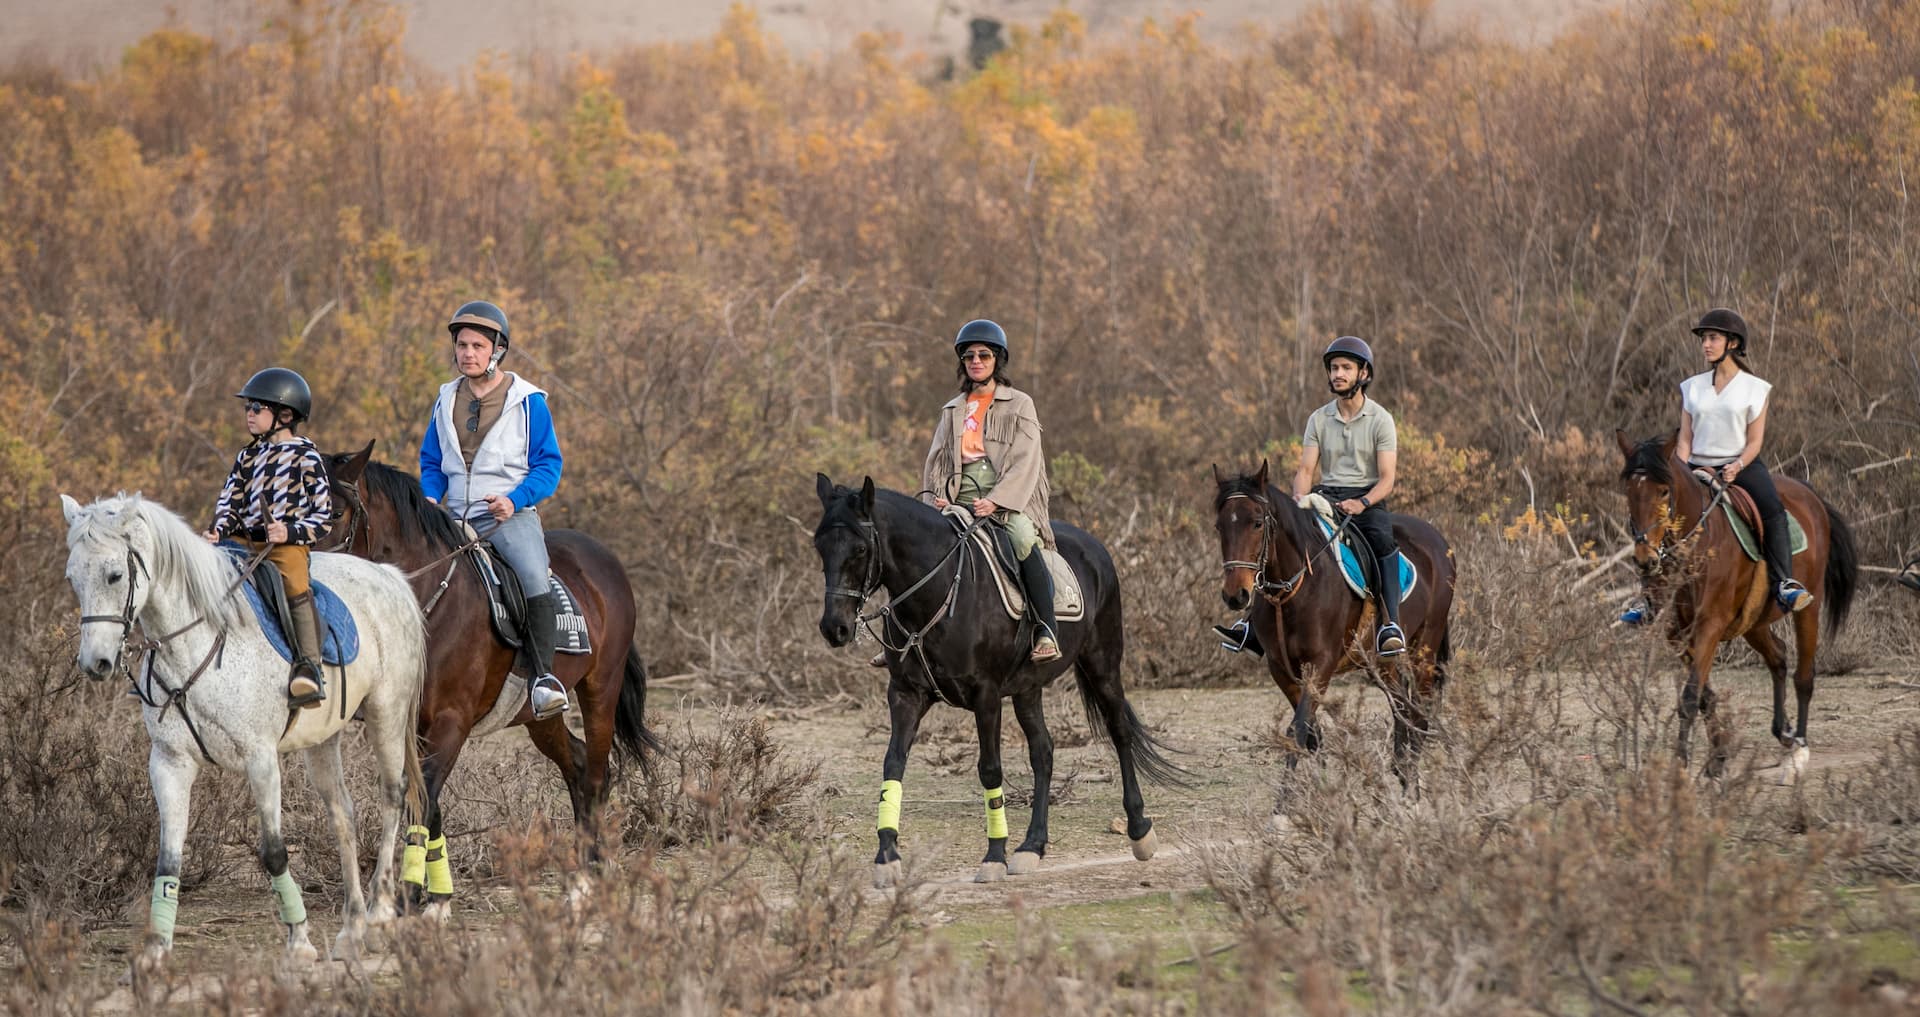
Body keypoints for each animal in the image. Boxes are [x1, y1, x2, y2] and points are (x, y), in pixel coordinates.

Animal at [60, 493, 426, 966]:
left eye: (115, 574)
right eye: (73, 579)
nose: (96, 663)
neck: (197, 642)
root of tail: (389, 577)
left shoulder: (260, 760)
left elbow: (273, 852)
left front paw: (299, 940)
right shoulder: (169, 763)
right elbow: (168, 859)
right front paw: (155, 950)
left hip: (387, 715)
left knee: (392, 798)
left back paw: (380, 915)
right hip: (324, 741)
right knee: (343, 816)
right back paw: (352, 930)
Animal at [321, 445, 657, 913]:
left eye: (334, 512)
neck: (426, 602)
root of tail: (602, 558)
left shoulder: (451, 721)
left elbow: (424, 798)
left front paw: (407, 897)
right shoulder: (410, 725)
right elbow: (427, 802)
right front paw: (436, 898)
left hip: (600, 689)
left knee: (594, 771)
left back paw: (589, 878)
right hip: (538, 716)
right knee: (576, 764)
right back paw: (583, 876)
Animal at [812, 474, 1187, 887]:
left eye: (860, 548)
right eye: (820, 546)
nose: (834, 628)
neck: (938, 593)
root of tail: (1094, 547)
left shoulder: (986, 695)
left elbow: (990, 769)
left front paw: (993, 856)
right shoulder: (905, 695)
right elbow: (893, 765)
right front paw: (887, 857)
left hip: (1102, 664)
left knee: (1119, 732)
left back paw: (1139, 831)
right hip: (1028, 689)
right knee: (1043, 752)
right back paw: (1031, 847)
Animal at [1210, 462, 1457, 788]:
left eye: (1257, 523)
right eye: (1219, 527)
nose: (1235, 595)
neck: (1294, 589)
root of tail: (1439, 541)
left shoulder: (1321, 664)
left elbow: (1298, 729)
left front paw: (1286, 801)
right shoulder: (1281, 669)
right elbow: (1311, 735)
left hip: (1424, 649)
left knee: (1420, 711)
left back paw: (1410, 784)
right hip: (1381, 662)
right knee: (1402, 707)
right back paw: (1402, 770)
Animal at [1614, 431, 1859, 779]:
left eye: (1663, 491)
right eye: (1630, 492)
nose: (1645, 560)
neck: (1694, 549)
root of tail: (1811, 496)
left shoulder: (1709, 625)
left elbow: (1691, 696)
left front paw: (1681, 766)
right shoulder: (1677, 633)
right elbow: (1703, 695)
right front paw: (1718, 755)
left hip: (1808, 609)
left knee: (1804, 676)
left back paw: (1799, 750)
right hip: (1752, 620)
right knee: (1778, 657)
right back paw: (1784, 734)